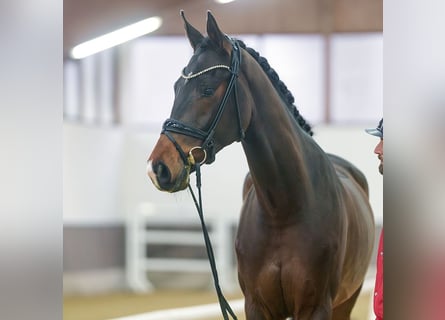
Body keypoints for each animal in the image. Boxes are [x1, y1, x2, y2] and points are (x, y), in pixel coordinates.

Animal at [147, 11, 372, 318]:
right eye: (176, 88)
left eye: (207, 89)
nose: (158, 167)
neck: (284, 210)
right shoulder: (257, 305)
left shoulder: (316, 307)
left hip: (346, 302)